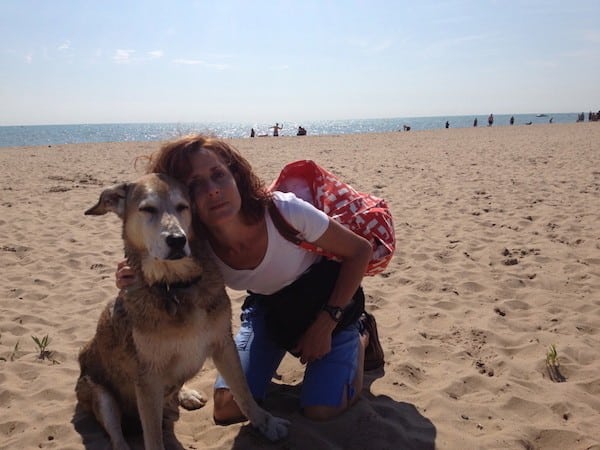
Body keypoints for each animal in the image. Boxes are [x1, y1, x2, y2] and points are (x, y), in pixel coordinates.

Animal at [76, 173, 290, 450]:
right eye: (147, 209)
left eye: (183, 207)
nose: (177, 239)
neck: (175, 287)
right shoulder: (147, 379)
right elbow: (153, 437)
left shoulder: (223, 344)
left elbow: (243, 391)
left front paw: (266, 423)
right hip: (101, 395)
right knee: (116, 436)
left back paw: (186, 394)